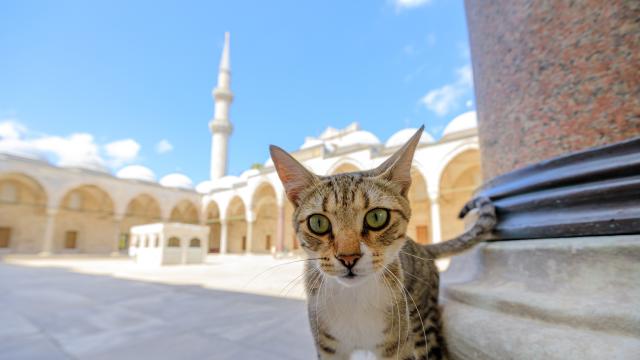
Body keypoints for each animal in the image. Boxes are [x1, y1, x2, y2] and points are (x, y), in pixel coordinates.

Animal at [268, 127, 496, 360]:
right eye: (318, 223)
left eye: (377, 217)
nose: (348, 257)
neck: (354, 300)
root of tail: (423, 248)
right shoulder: (328, 349)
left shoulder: (399, 346)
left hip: (422, 322)